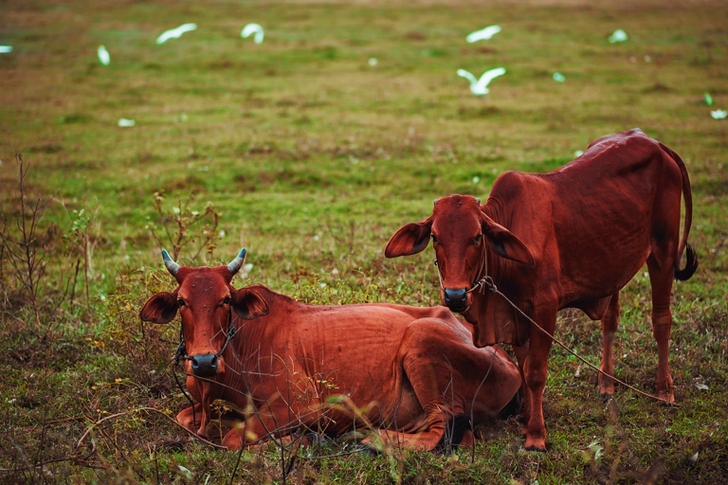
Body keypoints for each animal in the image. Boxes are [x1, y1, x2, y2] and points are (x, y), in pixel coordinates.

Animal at [139, 248, 522, 451]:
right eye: (182, 301)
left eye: (225, 300)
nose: (203, 361)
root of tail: (509, 362)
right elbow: (187, 419)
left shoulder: (303, 404)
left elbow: (234, 438)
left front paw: (295, 441)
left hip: (421, 339)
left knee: (441, 431)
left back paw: (371, 438)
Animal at [384, 129, 698, 451]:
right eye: (435, 237)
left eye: (477, 237)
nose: (455, 295)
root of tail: (654, 142)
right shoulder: (517, 314)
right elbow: (523, 368)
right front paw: (525, 421)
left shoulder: (545, 309)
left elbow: (535, 372)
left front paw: (536, 435)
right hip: (615, 264)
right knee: (611, 320)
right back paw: (606, 384)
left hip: (663, 250)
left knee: (661, 320)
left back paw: (664, 391)